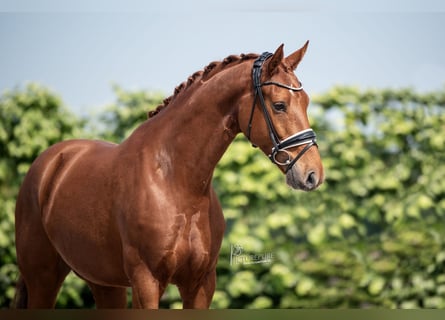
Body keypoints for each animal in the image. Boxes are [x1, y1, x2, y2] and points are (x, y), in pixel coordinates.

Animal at [13, 42, 322, 308]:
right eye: (279, 105)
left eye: (306, 102)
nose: (313, 174)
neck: (175, 182)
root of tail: (49, 163)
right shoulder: (147, 282)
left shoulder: (200, 285)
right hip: (43, 278)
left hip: (104, 283)